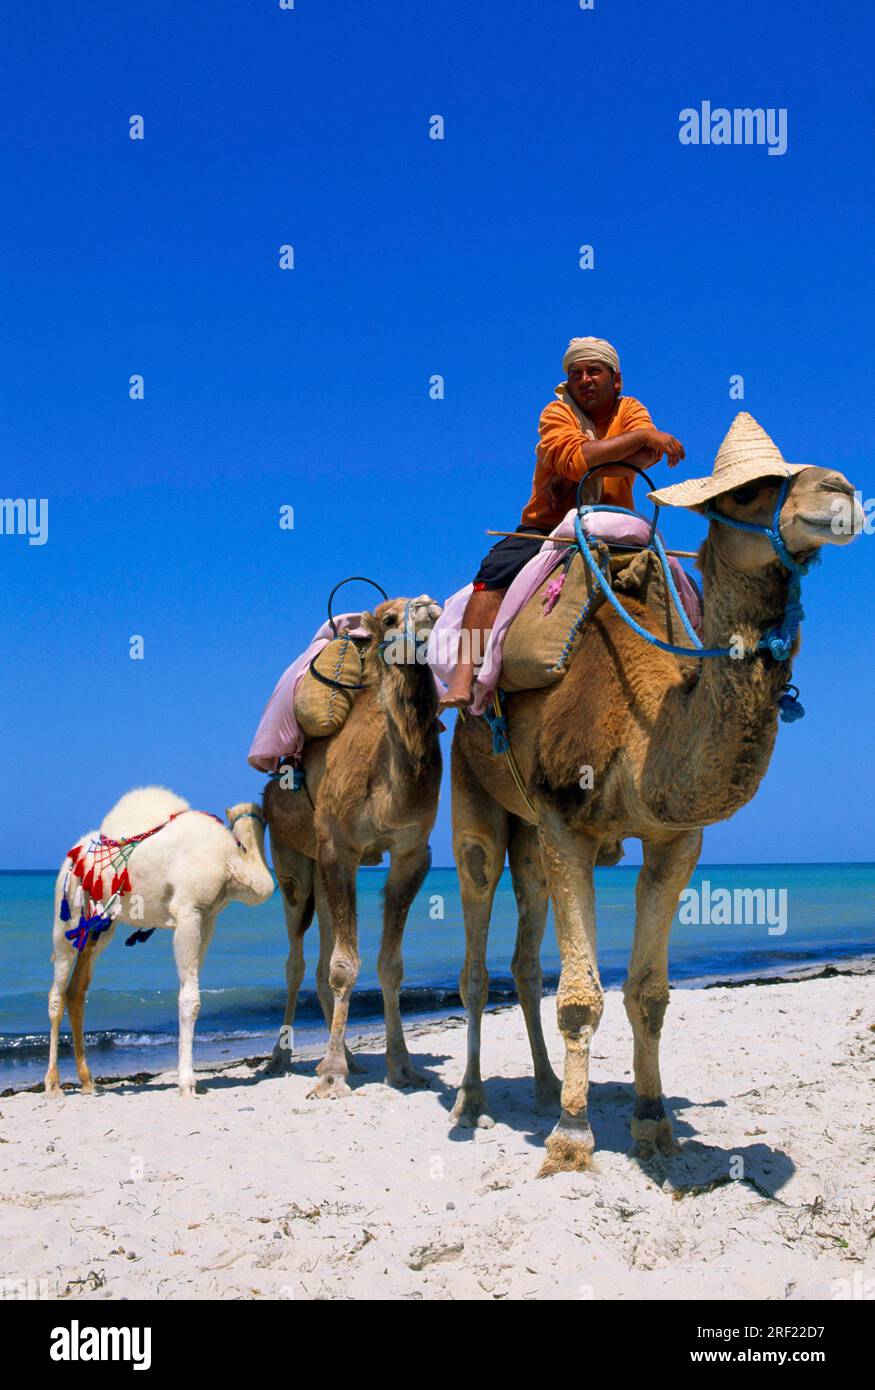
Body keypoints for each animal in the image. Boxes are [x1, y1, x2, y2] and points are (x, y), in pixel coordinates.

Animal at [43, 783, 272, 1095]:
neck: (228, 859)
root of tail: (73, 852)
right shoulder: (188, 911)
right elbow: (190, 999)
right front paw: (187, 1083)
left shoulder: (208, 918)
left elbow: (189, 991)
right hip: (67, 909)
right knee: (57, 991)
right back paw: (53, 1084)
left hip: (100, 926)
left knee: (76, 991)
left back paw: (88, 1082)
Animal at [257, 597, 436, 1095]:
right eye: (390, 618)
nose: (429, 607)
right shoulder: (340, 848)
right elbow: (343, 966)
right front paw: (331, 1075)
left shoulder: (413, 853)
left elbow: (389, 965)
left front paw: (403, 1067)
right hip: (292, 857)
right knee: (296, 960)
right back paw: (280, 1059)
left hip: (320, 868)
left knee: (318, 963)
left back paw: (353, 1059)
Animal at [450, 414, 862, 1173]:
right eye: (750, 491)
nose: (842, 489)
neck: (639, 718)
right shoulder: (566, 820)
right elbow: (581, 994)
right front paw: (572, 1139)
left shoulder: (676, 837)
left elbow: (647, 993)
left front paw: (651, 1123)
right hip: (474, 784)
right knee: (475, 924)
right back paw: (471, 1102)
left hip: (528, 831)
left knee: (523, 954)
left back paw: (546, 1087)